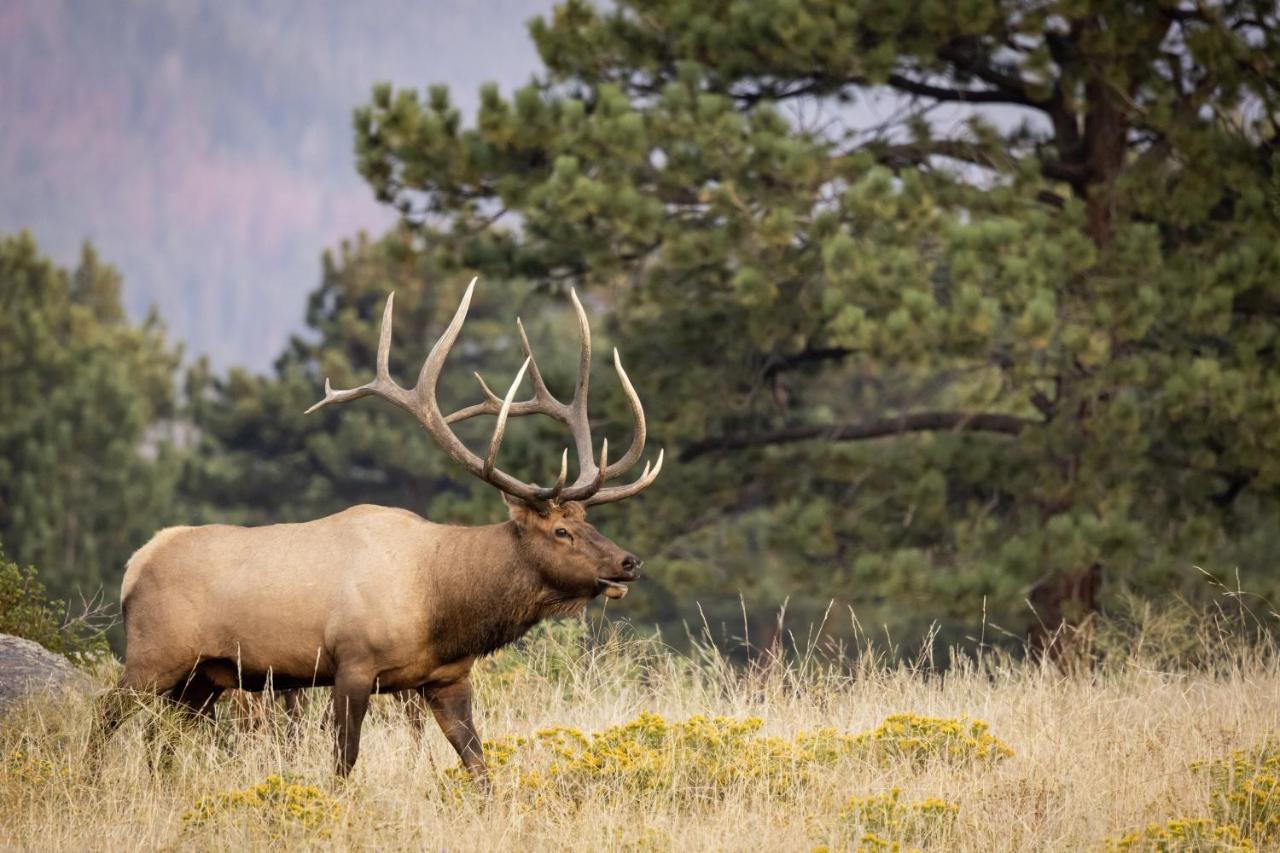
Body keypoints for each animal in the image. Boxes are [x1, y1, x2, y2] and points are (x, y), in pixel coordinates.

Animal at [94, 277, 665, 778]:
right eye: (560, 532)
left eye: (587, 520)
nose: (630, 561)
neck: (443, 606)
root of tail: (136, 563)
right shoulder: (351, 665)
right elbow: (344, 765)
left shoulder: (447, 679)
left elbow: (479, 766)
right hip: (154, 655)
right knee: (105, 717)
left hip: (204, 677)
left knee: (161, 739)